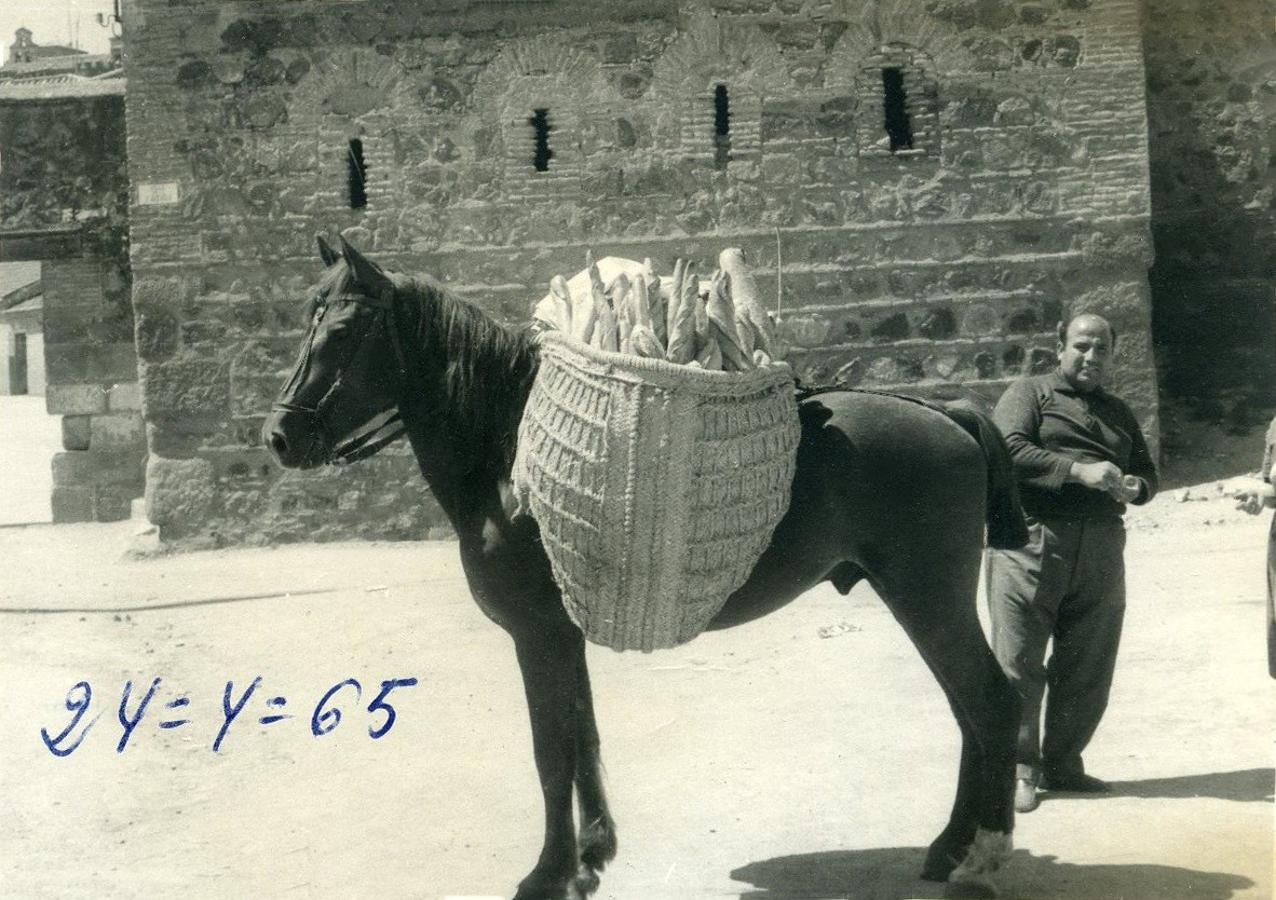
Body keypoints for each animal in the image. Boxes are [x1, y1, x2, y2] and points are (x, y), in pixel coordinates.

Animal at [264, 234, 1031, 898]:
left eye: (340, 332)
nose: (279, 435)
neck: (507, 454)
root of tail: (949, 413)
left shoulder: (537, 635)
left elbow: (551, 752)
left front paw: (547, 874)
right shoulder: (561, 634)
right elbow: (582, 738)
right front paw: (591, 856)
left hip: (927, 599)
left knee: (992, 703)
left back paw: (983, 859)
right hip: (920, 600)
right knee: (969, 708)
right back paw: (950, 845)